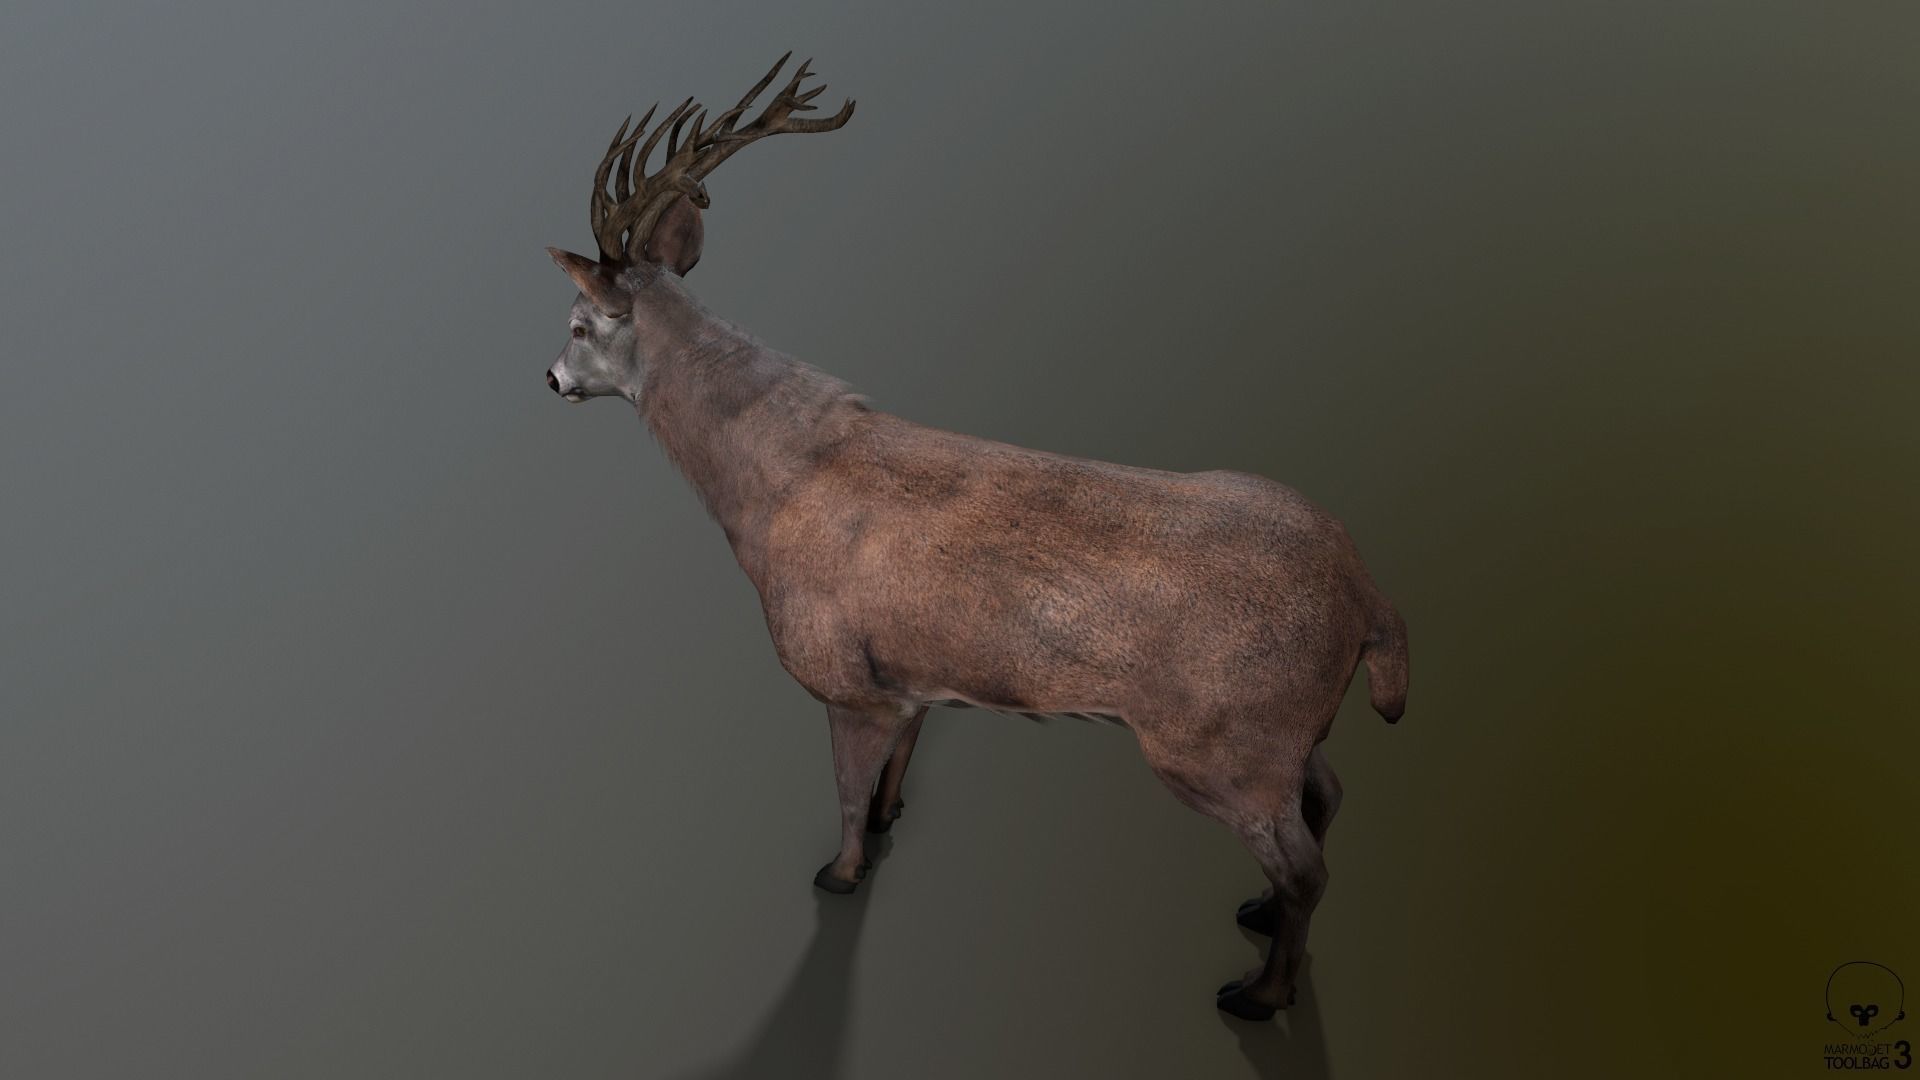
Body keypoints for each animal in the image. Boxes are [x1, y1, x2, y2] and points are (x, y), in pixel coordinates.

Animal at [539, 54, 1410, 1022]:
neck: (768, 490)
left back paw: (1260, 993)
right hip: (1287, 733)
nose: (550, 378)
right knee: (1328, 797)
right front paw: (889, 827)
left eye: (577, 325)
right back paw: (1256, 919)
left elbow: (845, 790)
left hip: (1225, 742)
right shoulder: (911, 677)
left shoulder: (841, 673)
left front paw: (840, 872)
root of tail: (1371, 599)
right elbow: (893, 772)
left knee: (1308, 867)